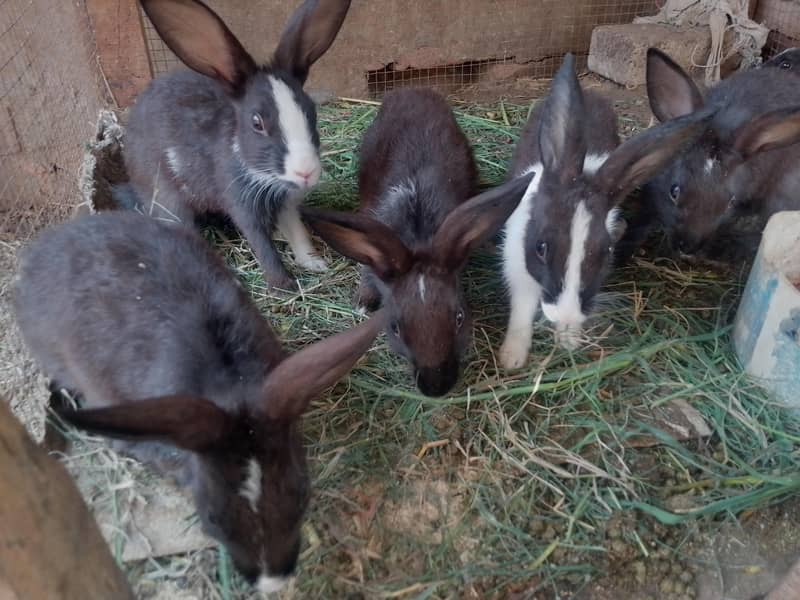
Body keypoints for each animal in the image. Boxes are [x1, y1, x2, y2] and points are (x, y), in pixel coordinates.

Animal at [124, 0, 351, 291]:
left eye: (311, 111)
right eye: (257, 123)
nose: (306, 172)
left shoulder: (286, 204)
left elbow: (297, 232)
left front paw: (315, 263)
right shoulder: (242, 206)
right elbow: (262, 246)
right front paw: (283, 284)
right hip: (167, 198)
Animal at [302, 88, 533, 396]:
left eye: (460, 317)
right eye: (395, 327)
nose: (436, 387)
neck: (418, 233)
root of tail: (414, 91)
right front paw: (363, 302)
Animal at [498, 53, 713, 368]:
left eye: (606, 252)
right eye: (541, 247)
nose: (567, 313)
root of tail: (590, 92)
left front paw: (569, 340)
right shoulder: (518, 266)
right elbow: (521, 310)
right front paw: (511, 357)